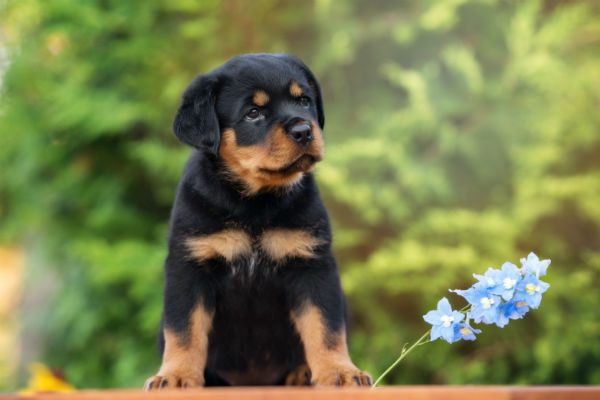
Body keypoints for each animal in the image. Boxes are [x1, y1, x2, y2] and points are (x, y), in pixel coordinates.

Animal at [145, 53, 370, 388]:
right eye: (253, 113)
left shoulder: (312, 264)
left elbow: (325, 327)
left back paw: (302, 372)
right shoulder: (189, 267)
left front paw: (341, 371)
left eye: (304, 101)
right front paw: (175, 376)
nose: (304, 131)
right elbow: (184, 331)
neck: (255, 202)